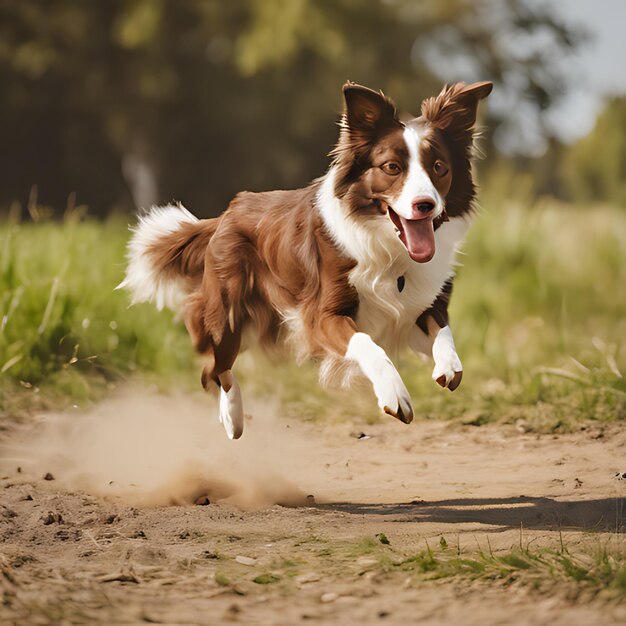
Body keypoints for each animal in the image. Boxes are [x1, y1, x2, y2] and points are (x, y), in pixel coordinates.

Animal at [118, 79, 488, 438]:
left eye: (439, 167)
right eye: (392, 168)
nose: (426, 205)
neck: (389, 249)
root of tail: (229, 210)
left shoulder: (419, 306)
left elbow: (444, 334)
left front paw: (447, 367)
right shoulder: (323, 315)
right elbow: (368, 344)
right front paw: (394, 394)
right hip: (226, 315)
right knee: (216, 369)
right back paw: (232, 418)